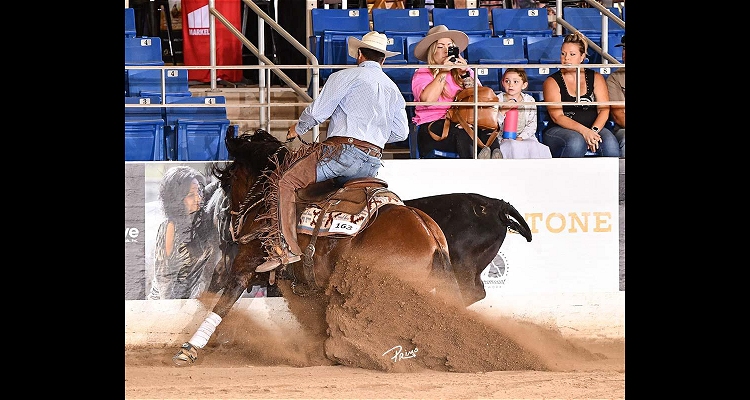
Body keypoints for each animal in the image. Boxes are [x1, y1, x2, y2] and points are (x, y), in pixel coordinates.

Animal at [174, 130, 462, 368]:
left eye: (230, 179)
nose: (232, 224)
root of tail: (429, 234)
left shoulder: (245, 266)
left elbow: (221, 301)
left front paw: (189, 348)